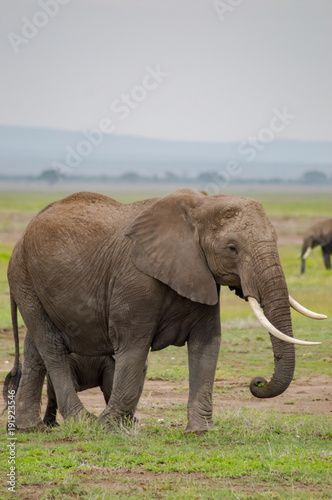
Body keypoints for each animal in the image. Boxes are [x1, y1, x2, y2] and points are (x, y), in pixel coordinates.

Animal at [5, 188, 324, 434]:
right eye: (232, 248)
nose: (257, 382)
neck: (201, 206)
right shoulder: (134, 280)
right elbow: (133, 349)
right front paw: (108, 427)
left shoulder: (202, 276)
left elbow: (206, 346)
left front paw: (199, 432)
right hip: (24, 277)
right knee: (51, 346)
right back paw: (82, 421)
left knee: (36, 348)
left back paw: (29, 427)